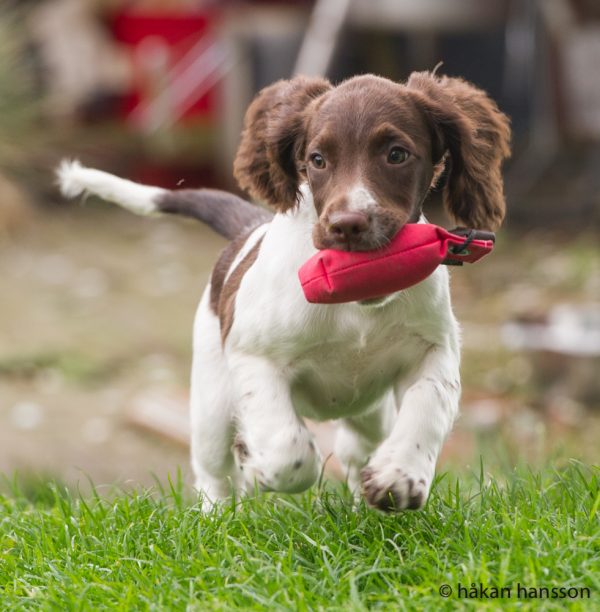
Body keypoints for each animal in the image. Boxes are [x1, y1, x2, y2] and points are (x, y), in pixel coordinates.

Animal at [58, 71, 510, 512]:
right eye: (317, 160)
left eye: (396, 154)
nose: (347, 225)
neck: (357, 303)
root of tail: (246, 228)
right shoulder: (255, 357)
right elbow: (288, 450)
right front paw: (258, 464)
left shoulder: (433, 349)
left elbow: (426, 409)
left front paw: (399, 475)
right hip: (212, 400)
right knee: (214, 472)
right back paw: (218, 515)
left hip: (368, 409)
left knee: (357, 445)